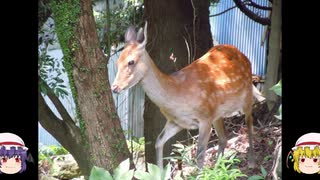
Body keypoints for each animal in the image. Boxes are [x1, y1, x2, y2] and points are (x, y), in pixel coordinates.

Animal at [112, 21, 258, 169]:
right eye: (117, 62)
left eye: (131, 62)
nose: (114, 87)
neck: (178, 93)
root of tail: (242, 54)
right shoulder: (176, 121)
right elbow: (158, 141)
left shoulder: (205, 117)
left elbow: (199, 156)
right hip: (217, 114)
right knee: (224, 137)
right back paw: (218, 166)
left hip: (247, 95)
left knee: (249, 122)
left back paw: (252, 162)